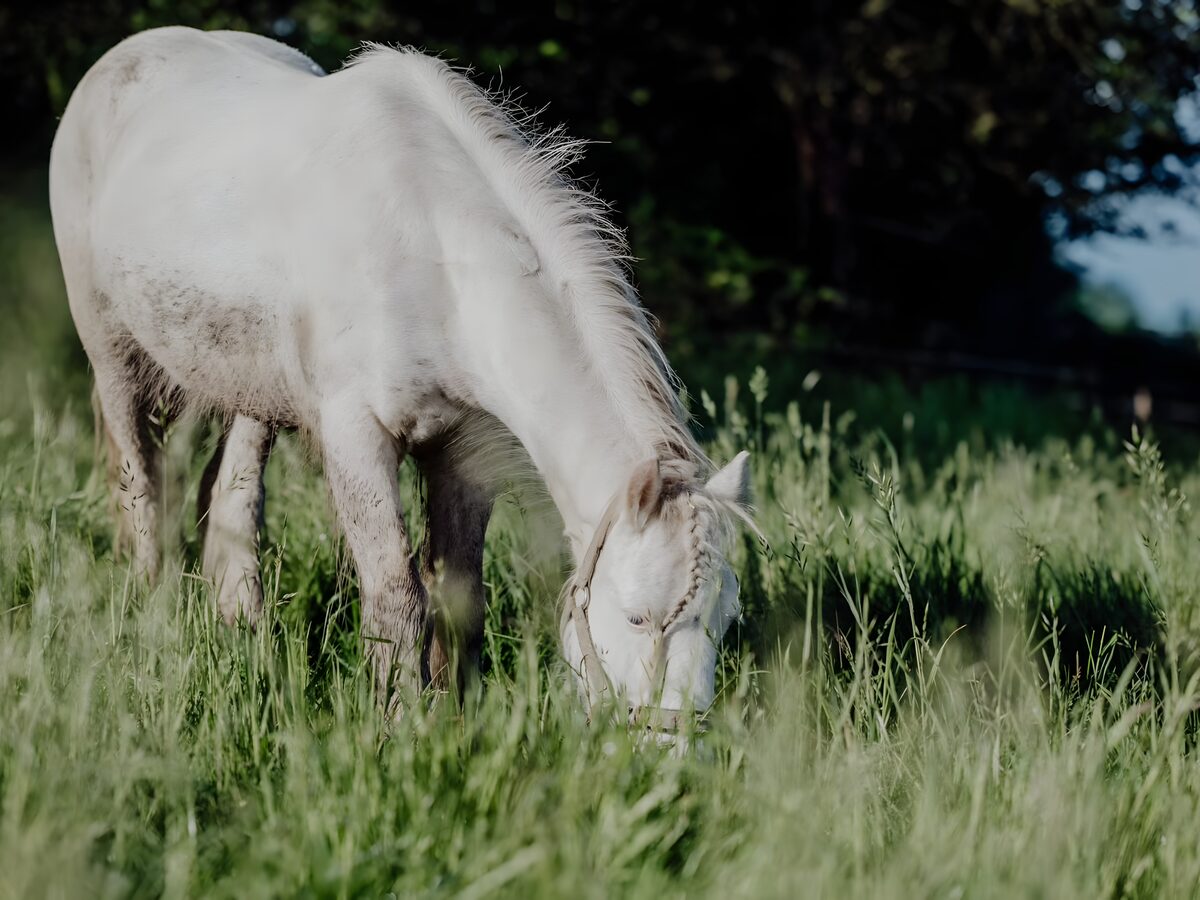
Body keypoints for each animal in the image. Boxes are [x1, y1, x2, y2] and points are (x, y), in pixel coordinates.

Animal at [49, 26, 757, 733]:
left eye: (725, 622)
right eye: (638, 616)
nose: (671, 742)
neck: (433, 258)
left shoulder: (464, 453)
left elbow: (460, 596)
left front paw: (456, 720)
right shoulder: (356, 437)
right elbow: (397, 597)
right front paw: (398, 724)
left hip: (250, 391)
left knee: (232, 499)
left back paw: (243, 634)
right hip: (112, 359)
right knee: (141, 493)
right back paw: (152, 618)